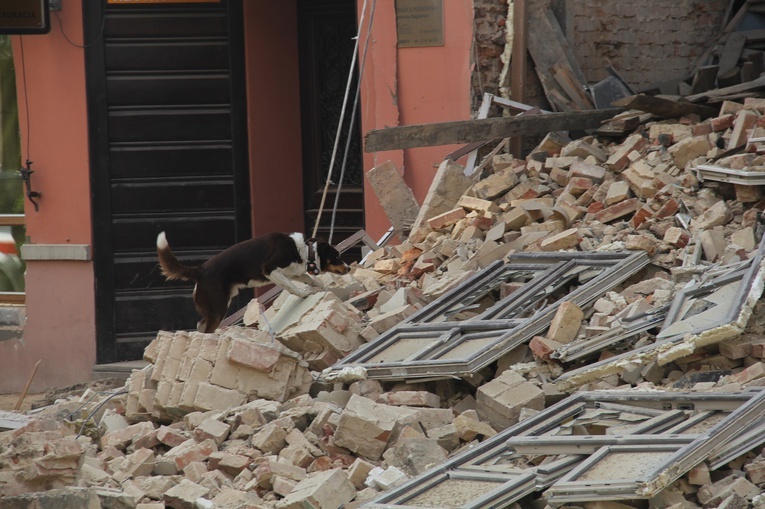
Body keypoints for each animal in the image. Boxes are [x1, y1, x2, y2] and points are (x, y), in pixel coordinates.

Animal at [158, 231, 350, 334]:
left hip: (216, 307)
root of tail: (200, 269)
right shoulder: (271, 270)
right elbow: (292, 286)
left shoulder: (292, 272)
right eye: (337, 257)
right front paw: (304, 294)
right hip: (219, 306)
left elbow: (311, 279)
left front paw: (322, 288)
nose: (348, 268)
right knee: (206, 328)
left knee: (201, 324)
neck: (303, 249)